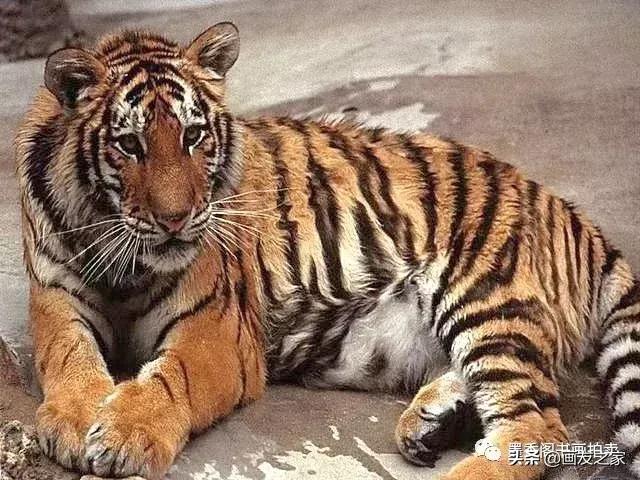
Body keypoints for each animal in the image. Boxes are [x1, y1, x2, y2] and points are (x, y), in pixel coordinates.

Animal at [13, 21, 640, 480]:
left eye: (193, 136)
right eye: (129, 144)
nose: (176, 219)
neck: (123, 254)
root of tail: (565, 206)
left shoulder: (218, 331)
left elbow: (173, 379)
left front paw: (125, 435)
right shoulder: (55, 300)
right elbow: (68, 357)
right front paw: (72, 421)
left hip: (484, 295)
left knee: (539, 427)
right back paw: (429, 422)